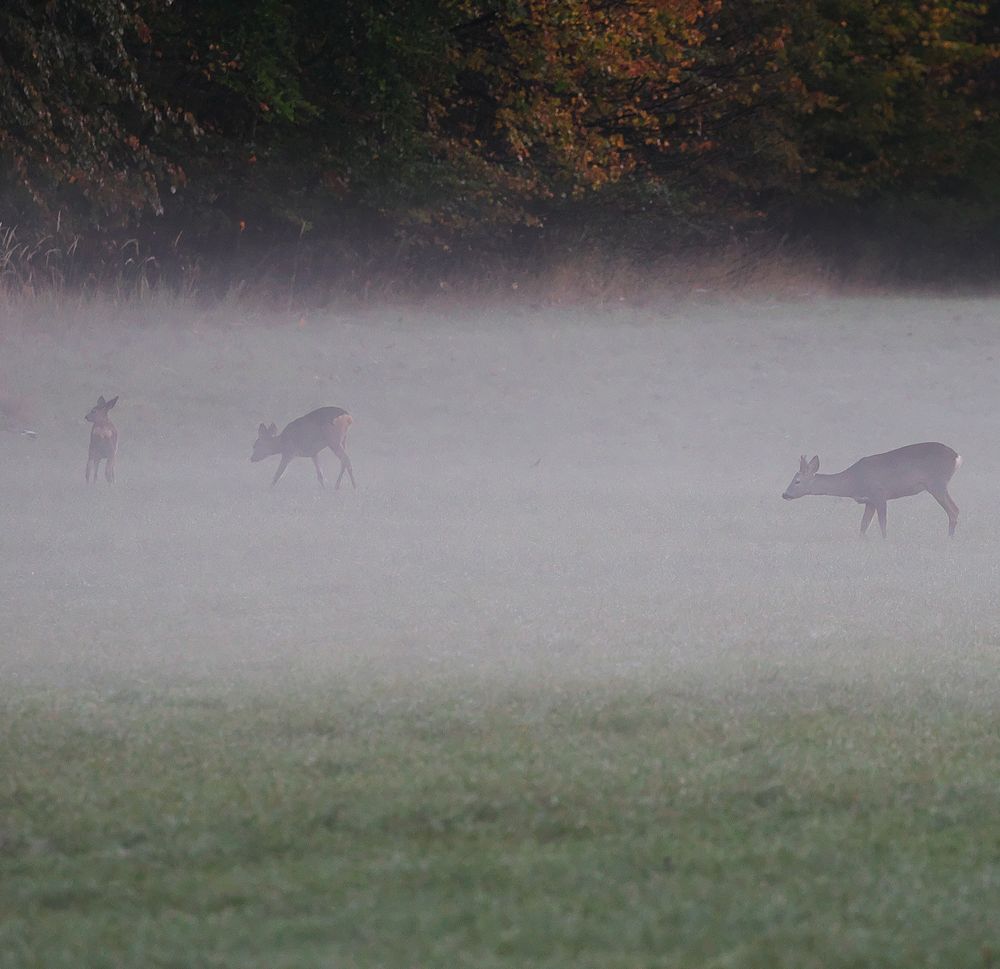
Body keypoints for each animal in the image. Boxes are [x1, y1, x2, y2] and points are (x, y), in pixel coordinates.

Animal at [780, 444, 960, 536]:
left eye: (797, 481)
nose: (784, 494)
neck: (852, 482)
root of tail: (956, 456)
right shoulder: (869, 501)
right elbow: (863, 525)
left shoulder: (879, 494)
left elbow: (882, 523)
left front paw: (884, 541)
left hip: (937, 483)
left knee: (953, 510)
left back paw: (949, 538)